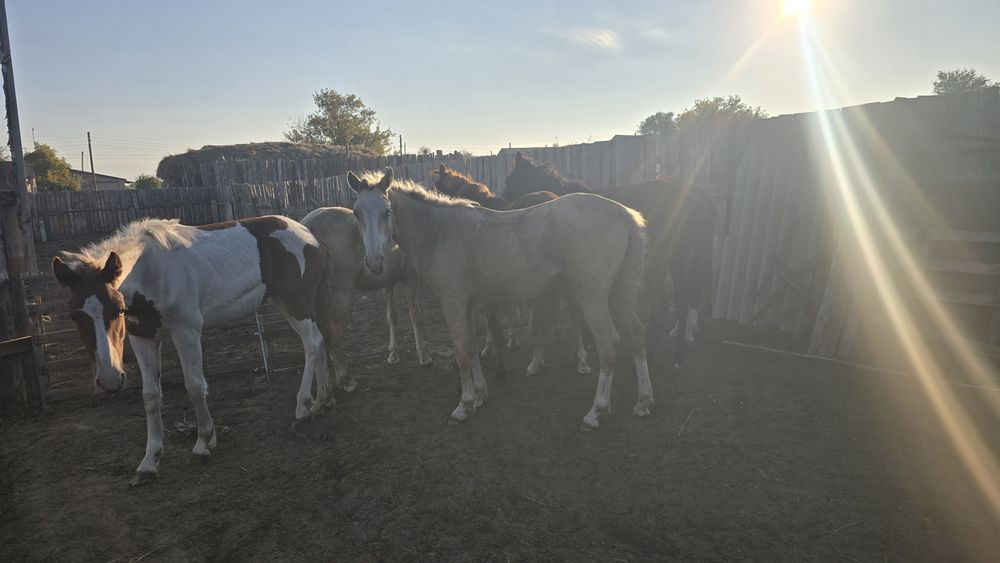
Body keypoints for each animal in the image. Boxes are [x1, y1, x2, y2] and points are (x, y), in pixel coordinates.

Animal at [53, 217, 332, 486]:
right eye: (75, 316)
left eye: (117, 310)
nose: (110, 379)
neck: (151, 272)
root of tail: (308, 235)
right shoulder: (143, 338)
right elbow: (150, 396)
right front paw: (149, 462)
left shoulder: (186, 333)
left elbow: (195, 387)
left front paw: (204, 442)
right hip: (291, 303)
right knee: (320, 341)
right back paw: (321, 401)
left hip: (295, 303)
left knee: (312, 344)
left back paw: (303, 406)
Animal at [301, 207, 432, 385]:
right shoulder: (410, 278)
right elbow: (415, 315)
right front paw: (424, 355)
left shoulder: (388, 282)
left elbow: (392, 316)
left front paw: (393, 354)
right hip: (340, 292)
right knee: (332, 328)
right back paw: (345, 377)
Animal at [350, 168, 652, 430]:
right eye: (356, 213)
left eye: (386, 211)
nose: (375, 263)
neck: (439, 232)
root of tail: (624, 214)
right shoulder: (468, 303)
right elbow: (473, 348)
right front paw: (481, 395)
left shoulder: (453, 303)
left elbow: (461, 351)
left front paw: (464, 405)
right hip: (618, 293)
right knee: (637, 335)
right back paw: (642, 401)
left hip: (591, 295)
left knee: (608, 345)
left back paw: (595, 412)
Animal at [504, 151, 717, 367]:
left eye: (509, 181)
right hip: (679, 261)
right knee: (683, 300)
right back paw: (679, 352)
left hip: (661, 265)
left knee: (665, 307)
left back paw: (651, 354)